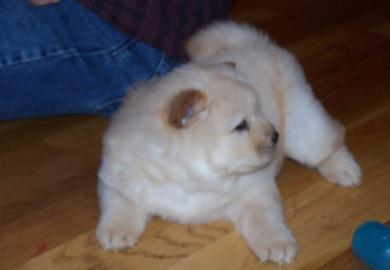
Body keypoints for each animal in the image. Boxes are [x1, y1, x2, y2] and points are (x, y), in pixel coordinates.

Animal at [96, 21, 362, 266]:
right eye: (241, 126)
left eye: (259, 111)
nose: (275, 135)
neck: (189, 177)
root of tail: (253, 43)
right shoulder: (115, 176)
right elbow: (120, 202)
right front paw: (115, 231)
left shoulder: (255, 189)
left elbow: (263, 217)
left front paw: (277, 244)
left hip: (303, 132)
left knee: (332, 138)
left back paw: (345, 171)